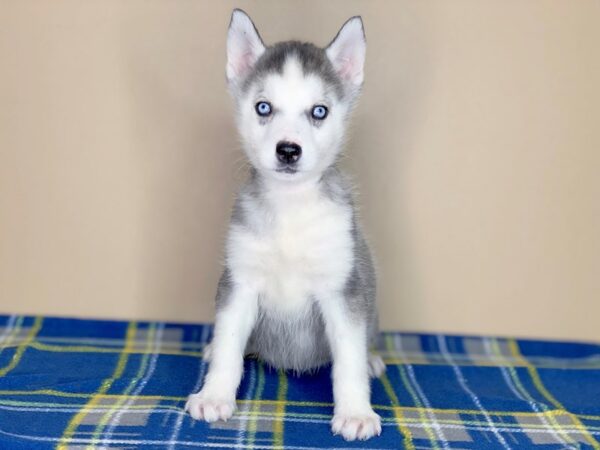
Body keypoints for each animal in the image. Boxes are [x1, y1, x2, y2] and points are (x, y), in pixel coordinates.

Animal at [184, 8, 384, 442]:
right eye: (264, 107)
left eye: (319, 111)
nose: (288, 150)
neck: (291, 209)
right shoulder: (239, 282)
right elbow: (229, 346)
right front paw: (215, 394)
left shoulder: (342, 288)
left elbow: (348, 359)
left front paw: (356, 412)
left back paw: (373, 359)